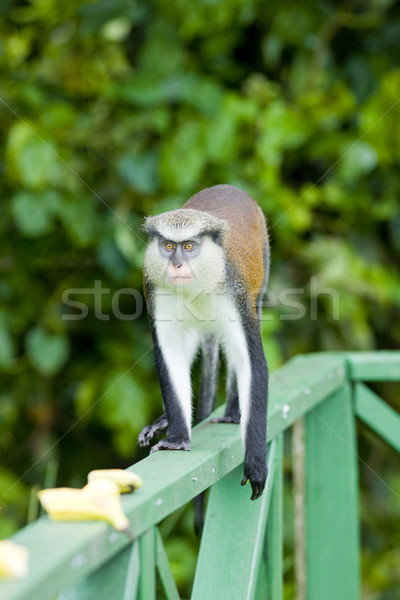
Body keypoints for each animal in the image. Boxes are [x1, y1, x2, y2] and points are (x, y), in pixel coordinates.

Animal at [138, 184, 268, 502]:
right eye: (168, 246)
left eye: (188, 246)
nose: (176, 265)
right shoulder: (154, 288)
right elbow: (171, 356)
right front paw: (176, 438)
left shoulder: (235, 292)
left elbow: (251, 363)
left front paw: (257, 463)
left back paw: (233, 413)